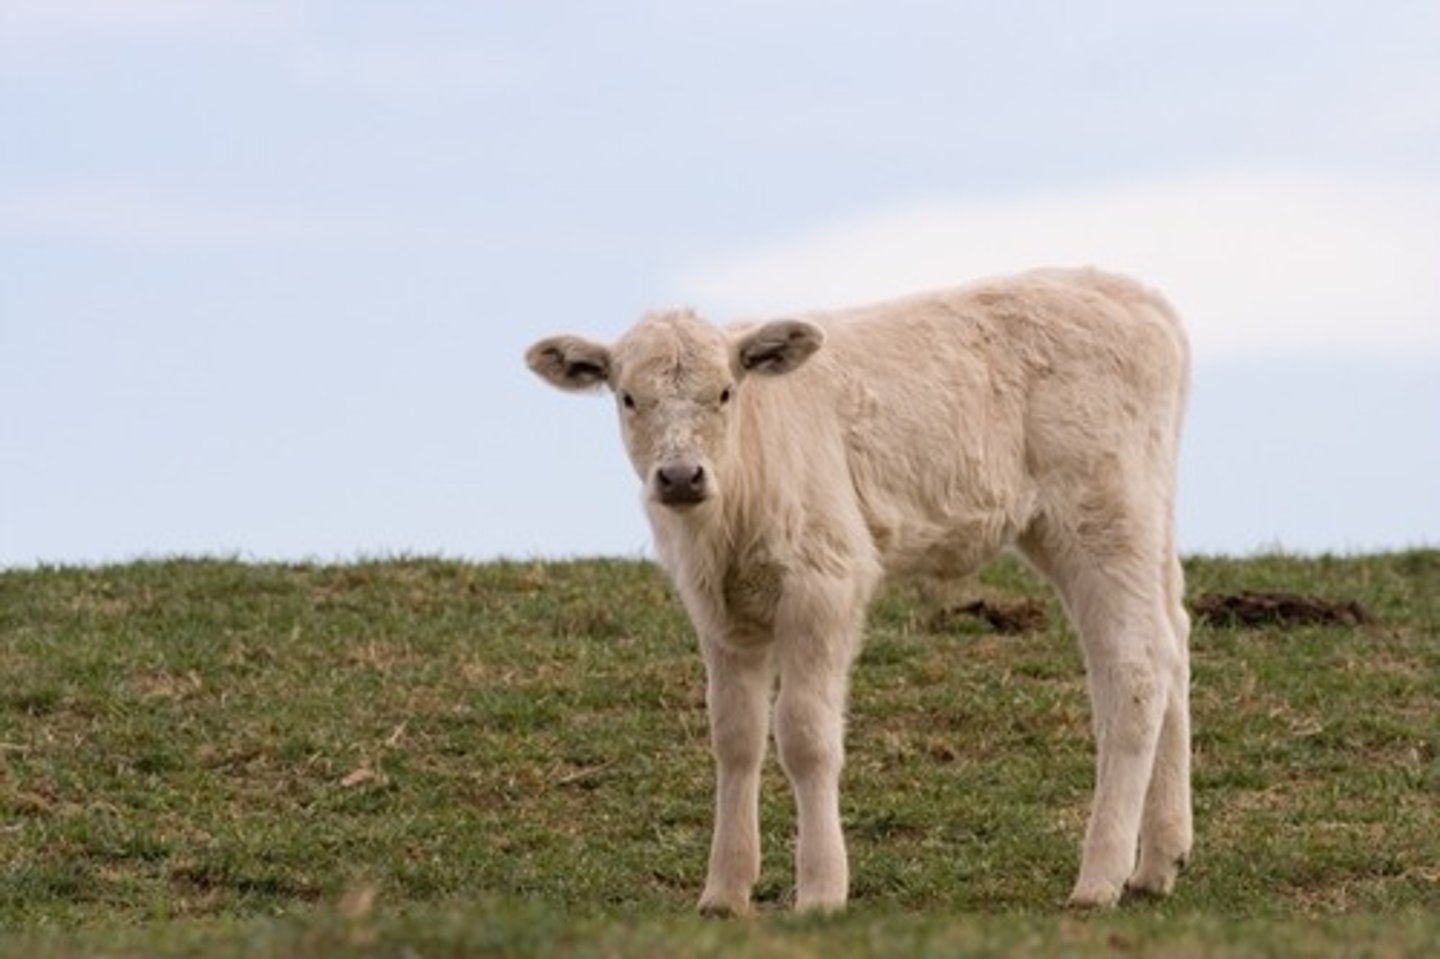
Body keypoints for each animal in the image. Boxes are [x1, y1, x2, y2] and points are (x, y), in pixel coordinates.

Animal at [524, 267, 1192, 913]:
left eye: (725, 392)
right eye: (628, 397)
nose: (681, 476)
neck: (727, 520)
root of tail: (1134, 294)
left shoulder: (826, 579)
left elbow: (804, 734)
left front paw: (821, 890)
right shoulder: (717, 610)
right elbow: (735, 736)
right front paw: (724, 892)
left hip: (1100, 510)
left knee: (1132, 669)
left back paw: (1099, 879)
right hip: (1139, 516)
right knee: (1172, 641)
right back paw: (1159, 862)